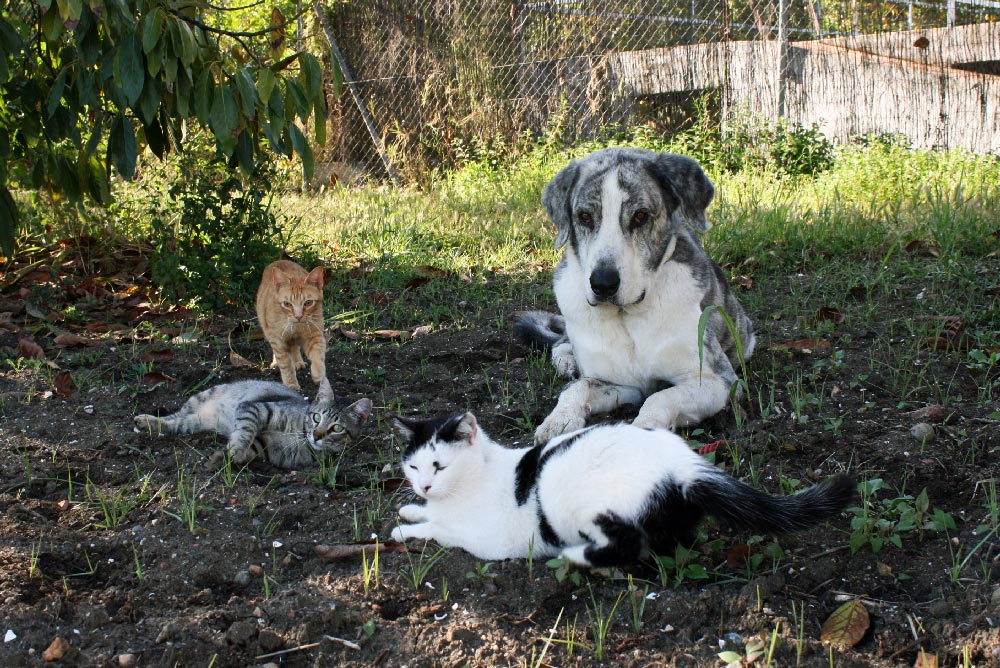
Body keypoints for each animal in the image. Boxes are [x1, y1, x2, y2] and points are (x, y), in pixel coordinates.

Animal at [135, 380, 374, 470]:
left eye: (337, 428)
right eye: (316, 418)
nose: (316, 434)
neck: (298, 436)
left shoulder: (267, 446)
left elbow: (248, 448)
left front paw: (223, 458)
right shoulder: (256, 408)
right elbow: (245, 431)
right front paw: (234, 449)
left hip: (192, 423)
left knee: (175, 424)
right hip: (201, 398)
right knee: (174, 416)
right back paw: (144, 420)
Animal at [390, 414, 852, 568]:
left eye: (439, 466)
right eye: (413, 466)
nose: (424, 484)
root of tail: (683, 463)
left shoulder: (487, 540)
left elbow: (438, 531)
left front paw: (403, 530)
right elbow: (429, 515)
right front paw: (412, 509)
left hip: (583, 503)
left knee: (627, 544)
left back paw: (574, 557)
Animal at [520, 149, 752, 446]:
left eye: (641, 216)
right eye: (584, 216)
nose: (603, 284)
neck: (629, 316)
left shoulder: (719, 381)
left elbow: (661, 396)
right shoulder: (621, 384)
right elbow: (578, 386)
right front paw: (559, 420)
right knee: (562, 344)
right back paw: (567, 360)